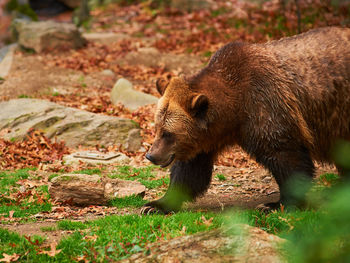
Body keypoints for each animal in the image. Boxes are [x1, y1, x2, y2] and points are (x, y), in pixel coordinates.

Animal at [140, 26, 350, 216]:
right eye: (156, 128)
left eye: (168, 133)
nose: (151, 155)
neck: (234, 109)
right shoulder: (206, 139)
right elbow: (190, 172)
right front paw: (154, 205)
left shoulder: (267, 106)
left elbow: (286, 157)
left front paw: (275, 205)